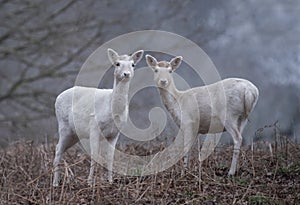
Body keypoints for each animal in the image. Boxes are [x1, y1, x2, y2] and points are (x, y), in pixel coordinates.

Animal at [52, 48, 144, 186]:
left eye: (133, 64)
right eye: (117, 64)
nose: (126, 74)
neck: (113, 111)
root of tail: (57, 98)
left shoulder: (114, 133)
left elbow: (110, 157)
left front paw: (110, 181)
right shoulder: (94, 127)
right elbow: (95, 155)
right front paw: (90, 183)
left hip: (74, 134)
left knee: (60, 148)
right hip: (64, 126)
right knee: (58, 149)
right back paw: (55, 183)